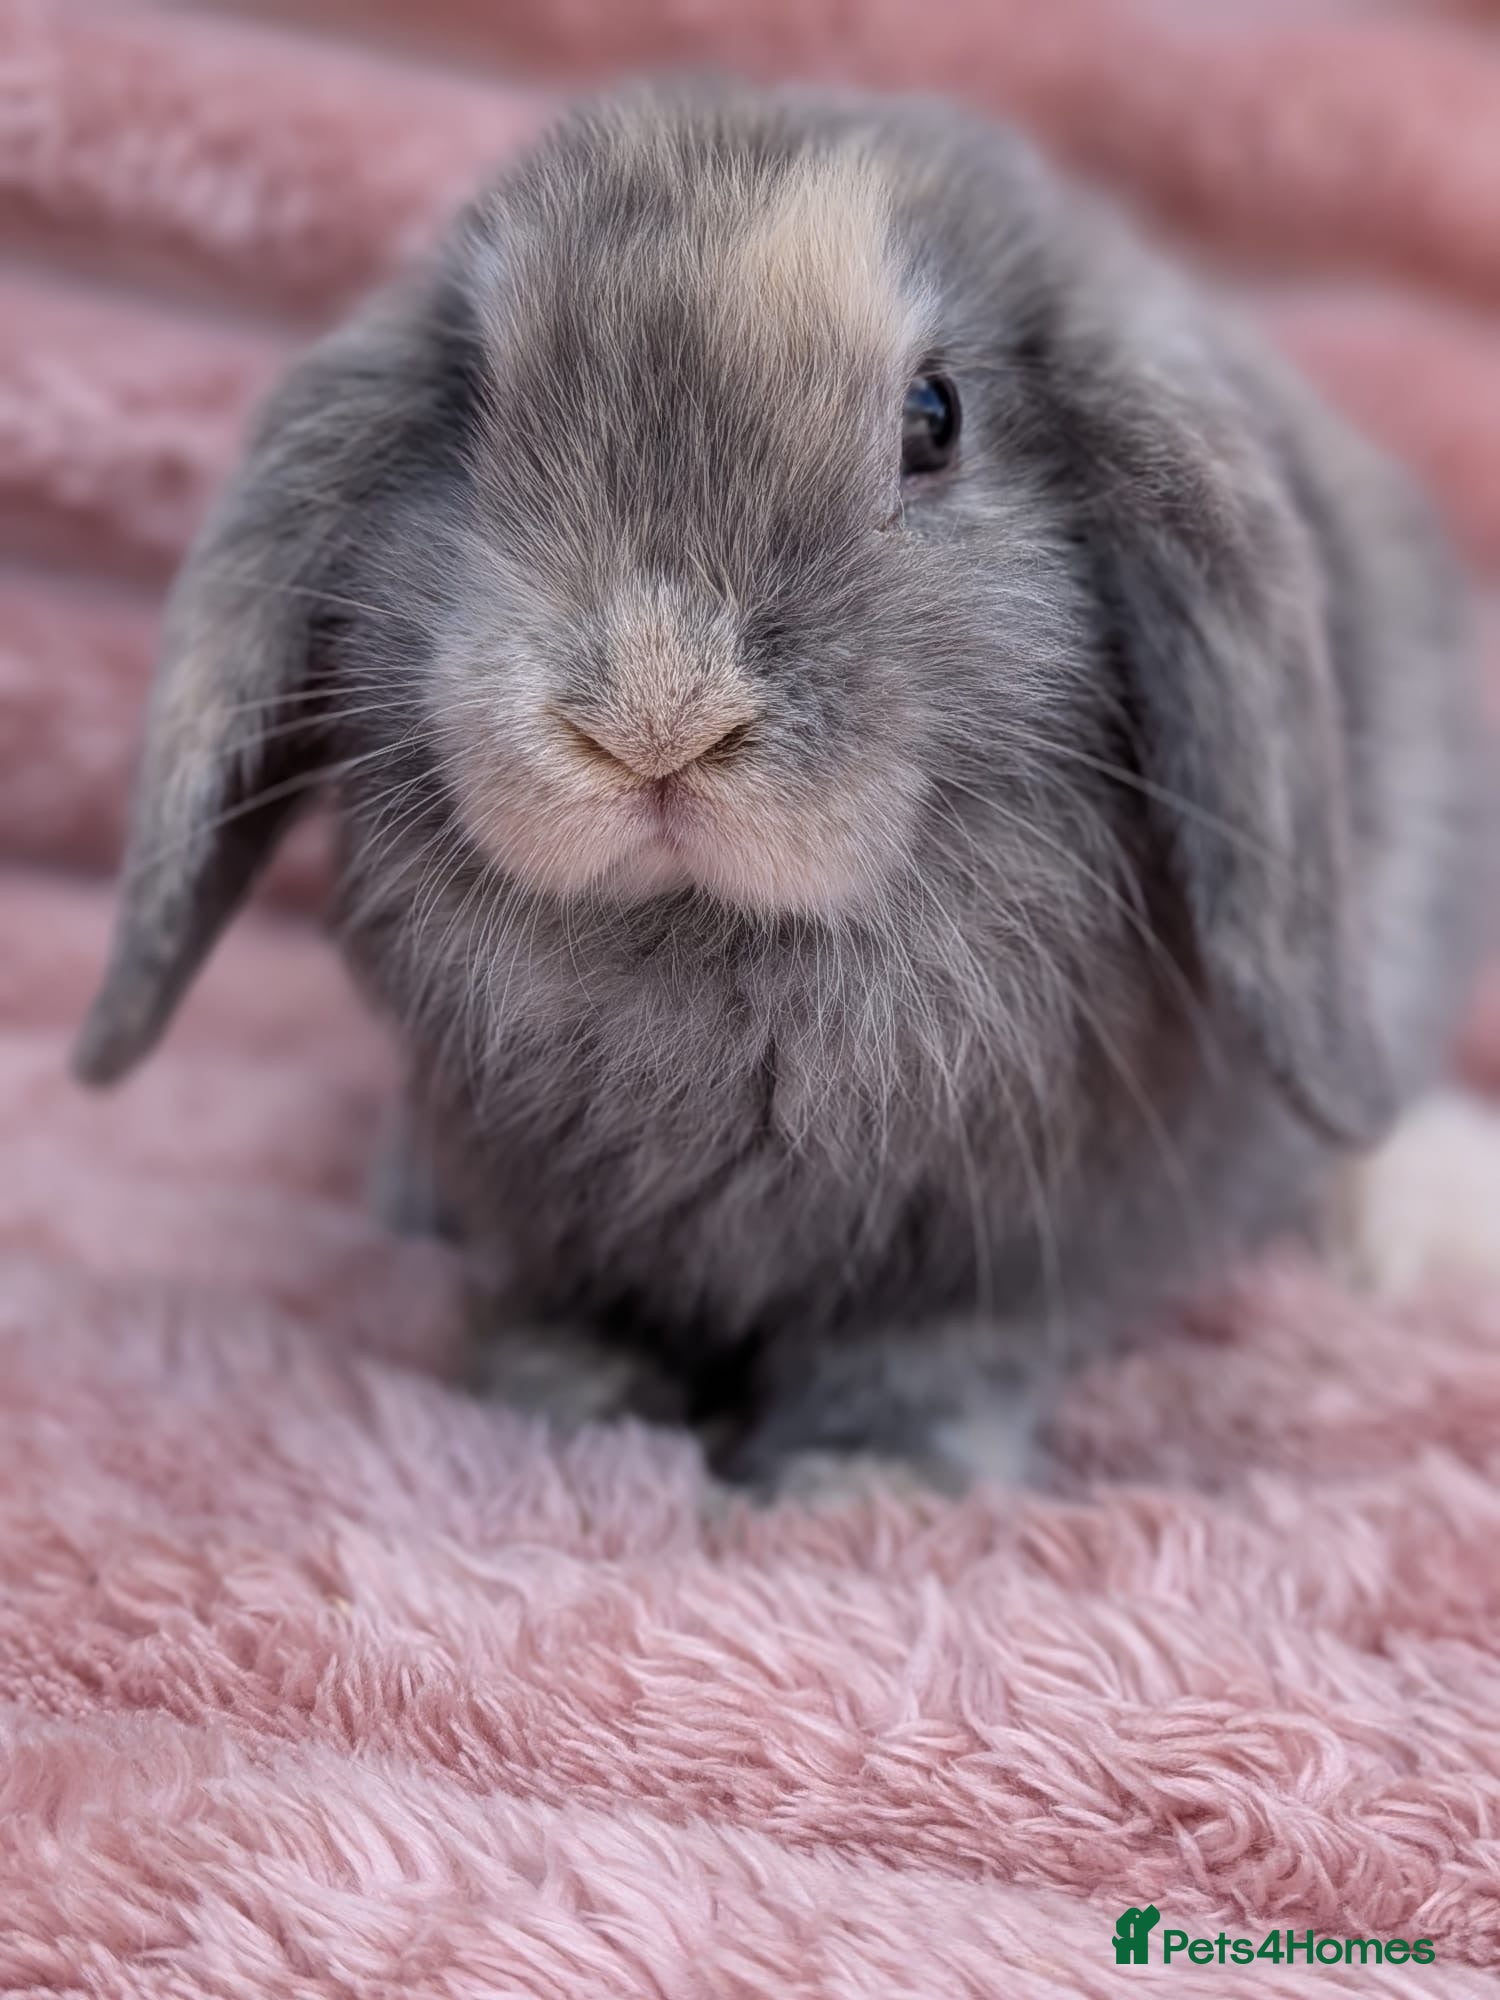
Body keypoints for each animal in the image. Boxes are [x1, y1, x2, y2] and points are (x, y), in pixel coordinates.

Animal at [73, 78, 1491, 1495]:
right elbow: (569, 1306)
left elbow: (934, 1355)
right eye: (468, 408)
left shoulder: (1003, 1244)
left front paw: (866, 1480)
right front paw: (568, 1406)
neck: (714, 951)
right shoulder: (553, 1209)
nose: (655, 713)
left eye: (935, 417)